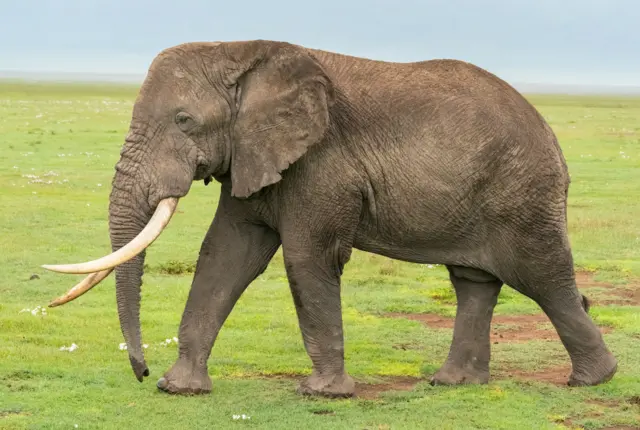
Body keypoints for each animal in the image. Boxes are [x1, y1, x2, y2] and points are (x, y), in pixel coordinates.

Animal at [43, 39, 618, 397]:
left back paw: (592, 380)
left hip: (522, 195)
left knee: (545, 278)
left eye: (184, 120)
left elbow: (305, 259)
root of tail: (549, 131)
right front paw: (179, 388)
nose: (140, 373)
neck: (241, 50)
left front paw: (322, 394)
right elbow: (225, 256)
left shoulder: (321, 163)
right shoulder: (253, 154)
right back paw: (452, 383)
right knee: (473, 282)